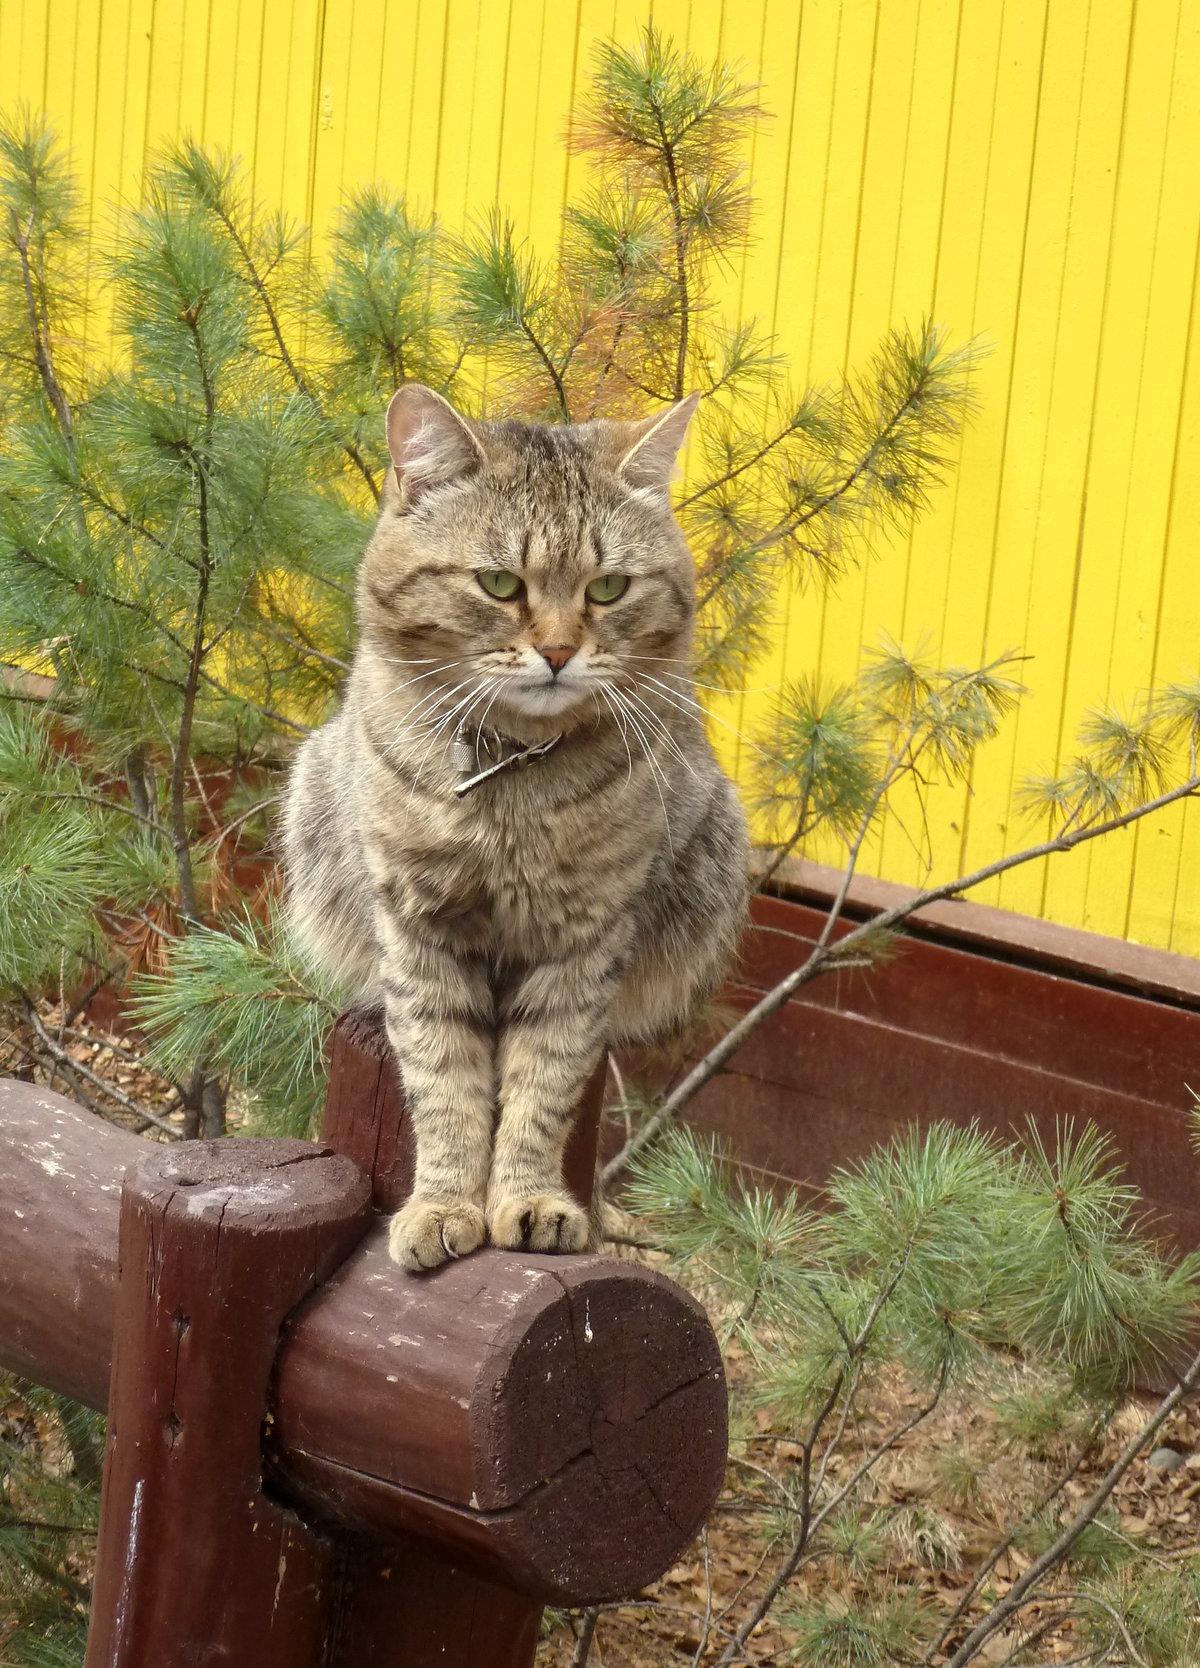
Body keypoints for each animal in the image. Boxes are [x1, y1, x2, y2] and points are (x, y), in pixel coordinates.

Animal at [285, 383, 747, 1267]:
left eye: (608, 589)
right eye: (500, 584)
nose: (560, 652)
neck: (513, 781)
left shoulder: (585, 937)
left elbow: (544, 1082)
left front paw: (529, 1201)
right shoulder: (418, 928)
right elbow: (444, 1082)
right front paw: (442, 1205)